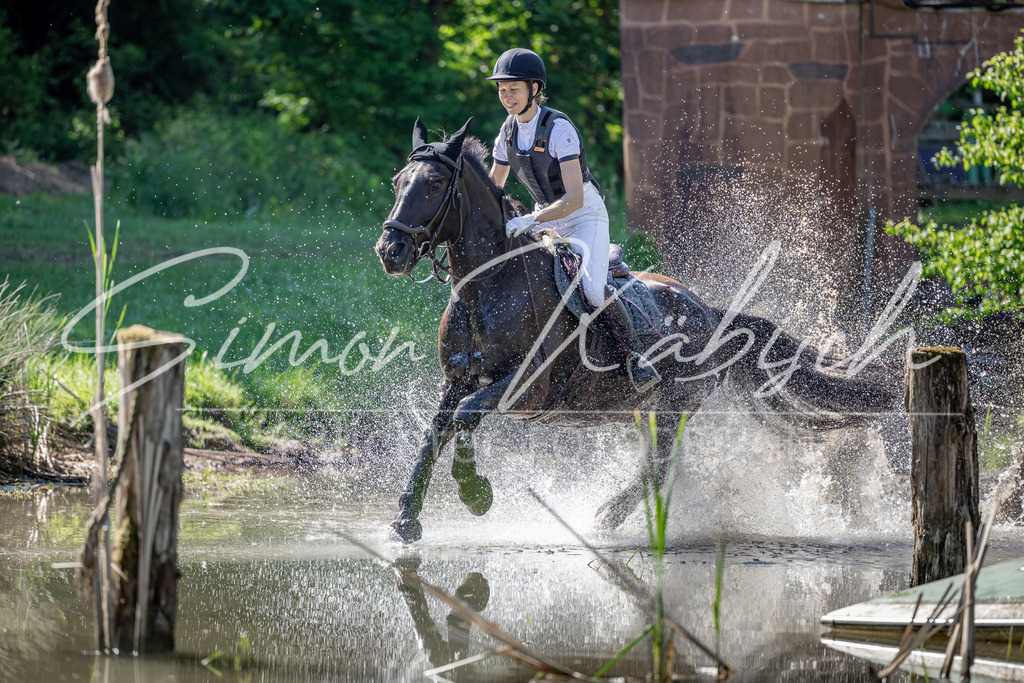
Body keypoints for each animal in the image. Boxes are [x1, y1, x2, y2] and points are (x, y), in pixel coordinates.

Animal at [374, 118, 902, 543]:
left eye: (434, 183)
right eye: (399, 181)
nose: (389, 250)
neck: (488, 286)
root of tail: (711, 313)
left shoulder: (528, 387)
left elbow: (466, 416)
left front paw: (475, 493)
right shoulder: (455, 381)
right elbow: (434, 433)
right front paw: (406, 521)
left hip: (674, 404)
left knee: (659, 467)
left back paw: (605, 518)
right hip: (643, 409)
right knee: (659, 466)